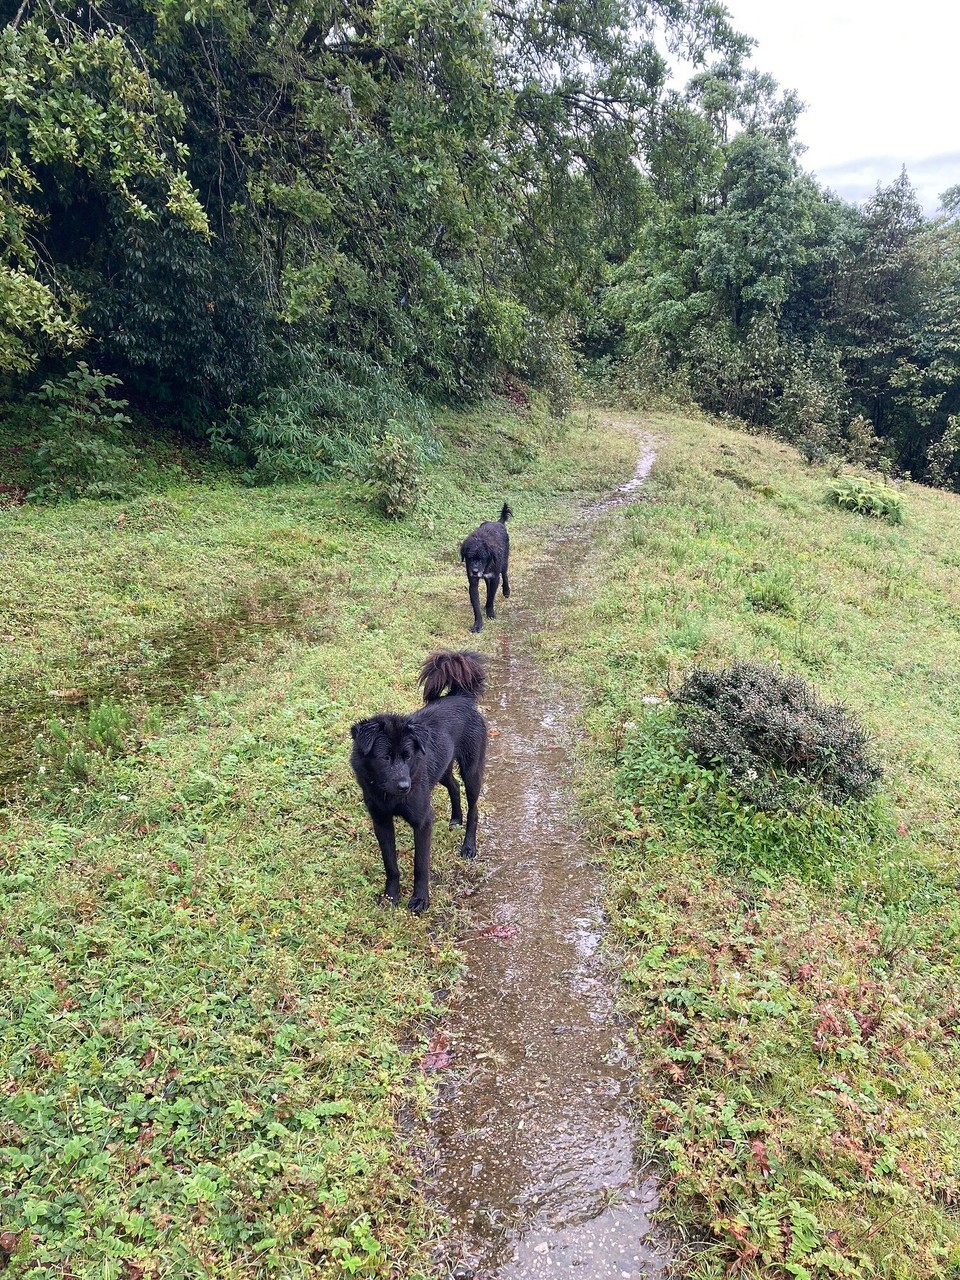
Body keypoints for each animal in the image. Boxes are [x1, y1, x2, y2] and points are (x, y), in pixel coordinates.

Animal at [348, 655, 488, 916]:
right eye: (385, 758)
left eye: (408, 756)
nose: (405, 786)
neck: (389, 795)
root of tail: (462, 697)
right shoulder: (381, 822)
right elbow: (390, 864)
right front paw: (391, 897)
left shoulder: (423, 822)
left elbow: (420, 865)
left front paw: (420, 900)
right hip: (442, 769)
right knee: (453, 786)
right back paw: (455, 818)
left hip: (472, 771)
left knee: (474, 808)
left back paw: (468, 847)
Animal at [458, 504, 512, 634]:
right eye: (470, 558)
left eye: (482, 558)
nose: (475, 571)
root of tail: (499, 522)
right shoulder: (473, 583)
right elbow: (476, 607)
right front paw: (478, 625)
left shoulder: (495, 577)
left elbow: (491, 597)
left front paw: (490, 613)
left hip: (504, 562)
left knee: (505, 574)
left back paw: (506, 591)